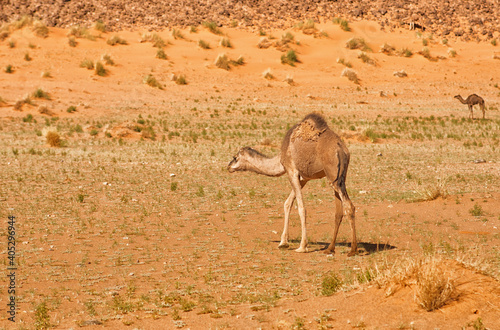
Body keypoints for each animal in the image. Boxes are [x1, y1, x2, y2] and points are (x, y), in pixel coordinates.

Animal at [229, 113, 358, 255]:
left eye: (235, 158)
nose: (228, 167)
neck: (280, 158)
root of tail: (341, 149)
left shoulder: (291, 170)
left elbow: (301, 207)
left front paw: (302, 246)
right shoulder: (304, 178)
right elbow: (287, 203)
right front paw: (283, 242)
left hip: (333, 175)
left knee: (349, 206)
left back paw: (352, 250)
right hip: (338, 178)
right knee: (339, 211)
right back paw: (330, 248)